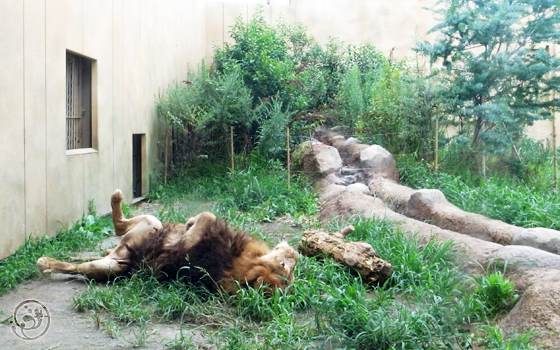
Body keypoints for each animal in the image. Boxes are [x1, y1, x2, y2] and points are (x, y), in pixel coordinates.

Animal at [37, 190, 300, 294]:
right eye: (287, 266)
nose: (296, 254)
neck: (235, 259)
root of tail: (117, 253)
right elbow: (208, 215)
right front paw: (190, 222)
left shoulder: (185, 255)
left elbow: (200, 224)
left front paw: (191, 226)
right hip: (152, 223)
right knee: (119, 224)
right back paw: (117, 198)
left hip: (111, 267)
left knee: (77, 266)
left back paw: (46, 262)